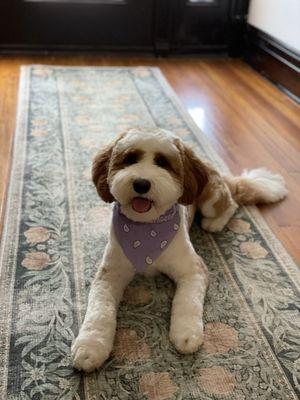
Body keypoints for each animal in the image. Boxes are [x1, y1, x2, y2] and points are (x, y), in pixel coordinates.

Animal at [71, 127, 288, 372]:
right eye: (130, 159)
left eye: (163, 162)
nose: (141, 183)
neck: (147, 229)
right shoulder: (109, 275)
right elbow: (99, 308)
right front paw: (90, 347)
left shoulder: (193, 269)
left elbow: (187, 301)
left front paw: (186, 333)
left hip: (211, 199)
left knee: (231, 203)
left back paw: (215, 223)